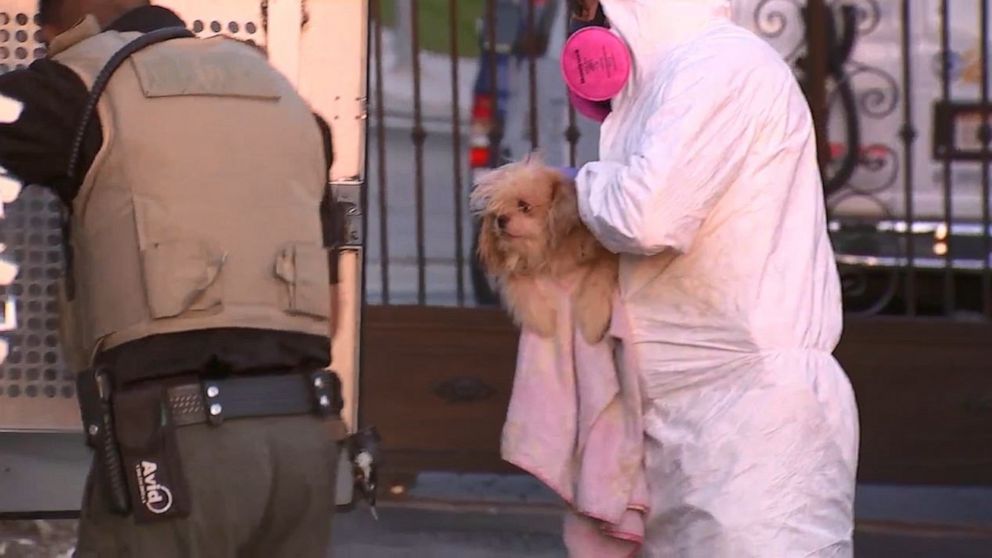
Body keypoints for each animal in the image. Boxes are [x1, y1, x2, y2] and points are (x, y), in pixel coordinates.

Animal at [468, 155, 616, 344]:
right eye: (495, 210)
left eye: (524, 206)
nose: (500, 219)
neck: (549, 253)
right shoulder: (519, 267)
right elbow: (520, 285)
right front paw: (543, 321)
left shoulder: (605, 256)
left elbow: (597, 280)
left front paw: (593, 325)